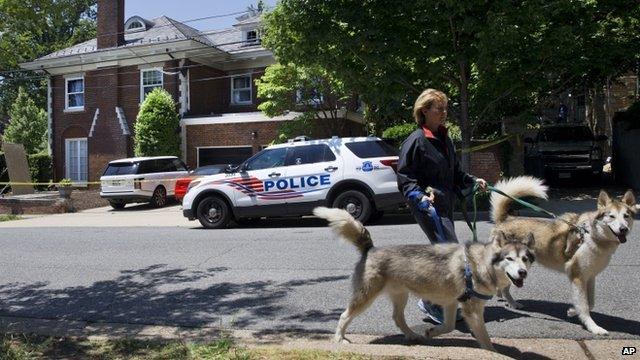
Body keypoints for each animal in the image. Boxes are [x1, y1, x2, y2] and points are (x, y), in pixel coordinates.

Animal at [312, 205, 532, 352]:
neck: (479, 264)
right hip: (366, 296)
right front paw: (492, 352)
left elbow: (449, 326)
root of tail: (371, 249)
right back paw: (339, 338)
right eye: (509, 259)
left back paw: (412, 335)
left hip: (400, 295)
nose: (523, 272)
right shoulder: (472, 311)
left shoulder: (452, 303)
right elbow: (485, 340)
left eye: (525, 259)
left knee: (398, 318)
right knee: (344, 315)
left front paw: (431, 332)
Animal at [490, 176, 636, 334]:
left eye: (626, 216)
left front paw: (572, 311)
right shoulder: (576, 275)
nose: (623, 229)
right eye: (611, 216)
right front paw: (593, 327)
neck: (592, 236)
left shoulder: (590, 276)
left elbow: (590, 303)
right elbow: (584, 306)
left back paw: (509, 301)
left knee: (505, 287)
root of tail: (505, 219)